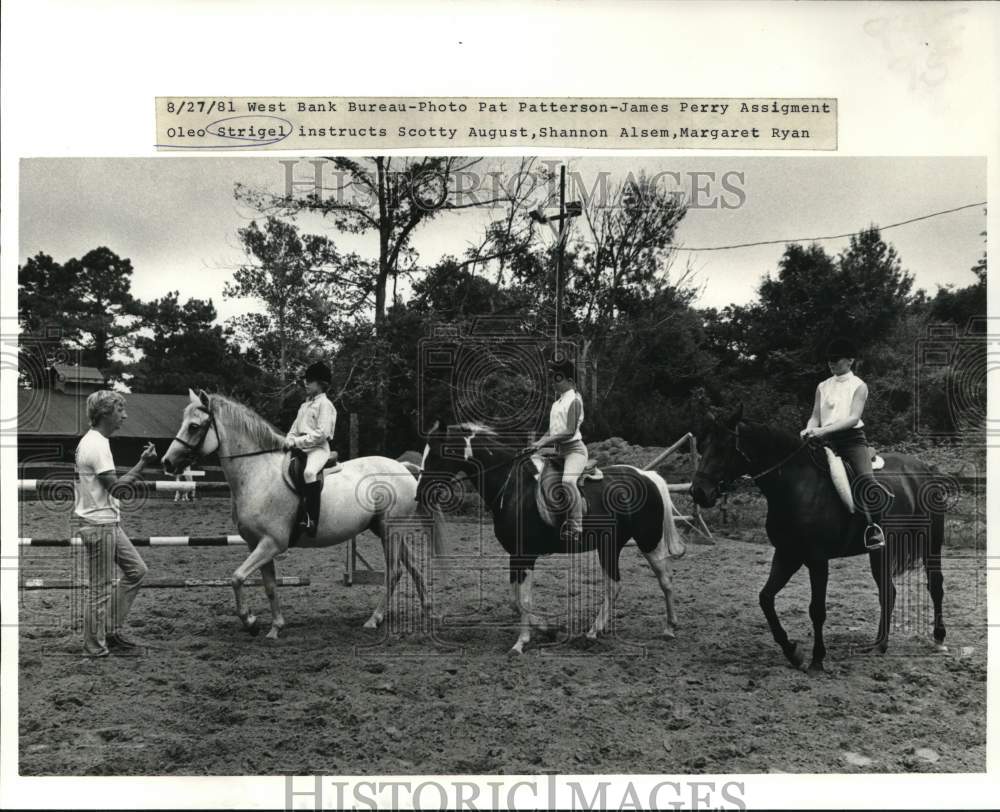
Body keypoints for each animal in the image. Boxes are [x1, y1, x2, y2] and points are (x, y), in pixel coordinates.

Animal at [162, 390, 440, 636]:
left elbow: (237, 578)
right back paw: (426, 610)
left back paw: (375, 619)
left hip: (389, 531)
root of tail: (403, 467)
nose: (167, 462)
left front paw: (251, 622)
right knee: (413, 565)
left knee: (394, 572)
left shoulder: (272, 543)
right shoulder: (256, 544)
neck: (257, 474)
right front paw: (275, 627)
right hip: (388, 531)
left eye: (194, 426)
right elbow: (269, 586)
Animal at [410, 422, 684, 656]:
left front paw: (520, 644)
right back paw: (596, 631)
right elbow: (515, 600)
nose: (419, 493)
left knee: (665, 581)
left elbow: (523, 599)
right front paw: (549, 630)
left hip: (647, 541)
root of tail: (647, 476)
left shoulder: (525, 555)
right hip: (609, 546)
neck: (514, 487)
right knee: (615, 585)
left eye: (436, 455)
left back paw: (668, 628)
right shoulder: (515, 556)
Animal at [692, 406, 948, 672]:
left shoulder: (817, 559)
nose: (698, 492)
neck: (795, 484)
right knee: (888, 591)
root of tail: (925, 468)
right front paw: (792, 652)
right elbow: (765, 598)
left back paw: (938, 639)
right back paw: (879, 645)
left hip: (931, 543)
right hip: (880, 551)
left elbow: (816, 609)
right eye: (702, 446)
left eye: (724, 447)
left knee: (935, 586)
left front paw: (817, 658)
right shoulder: (788, 554)